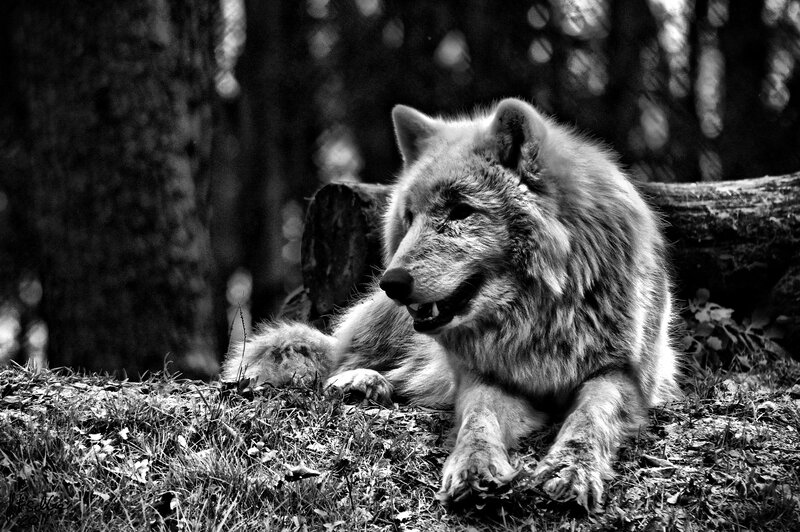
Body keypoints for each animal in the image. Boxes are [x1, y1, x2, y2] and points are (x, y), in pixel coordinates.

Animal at [222, 98, 679, 511]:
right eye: (410, 217)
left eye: (461, 211)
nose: (392, 282)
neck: (537, 319)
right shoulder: (484, 376)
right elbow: (477, 420)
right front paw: (475, 467)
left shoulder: (622, 376)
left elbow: (590, 418)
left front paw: (571, 469)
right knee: (344, 359)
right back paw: (360, 382)